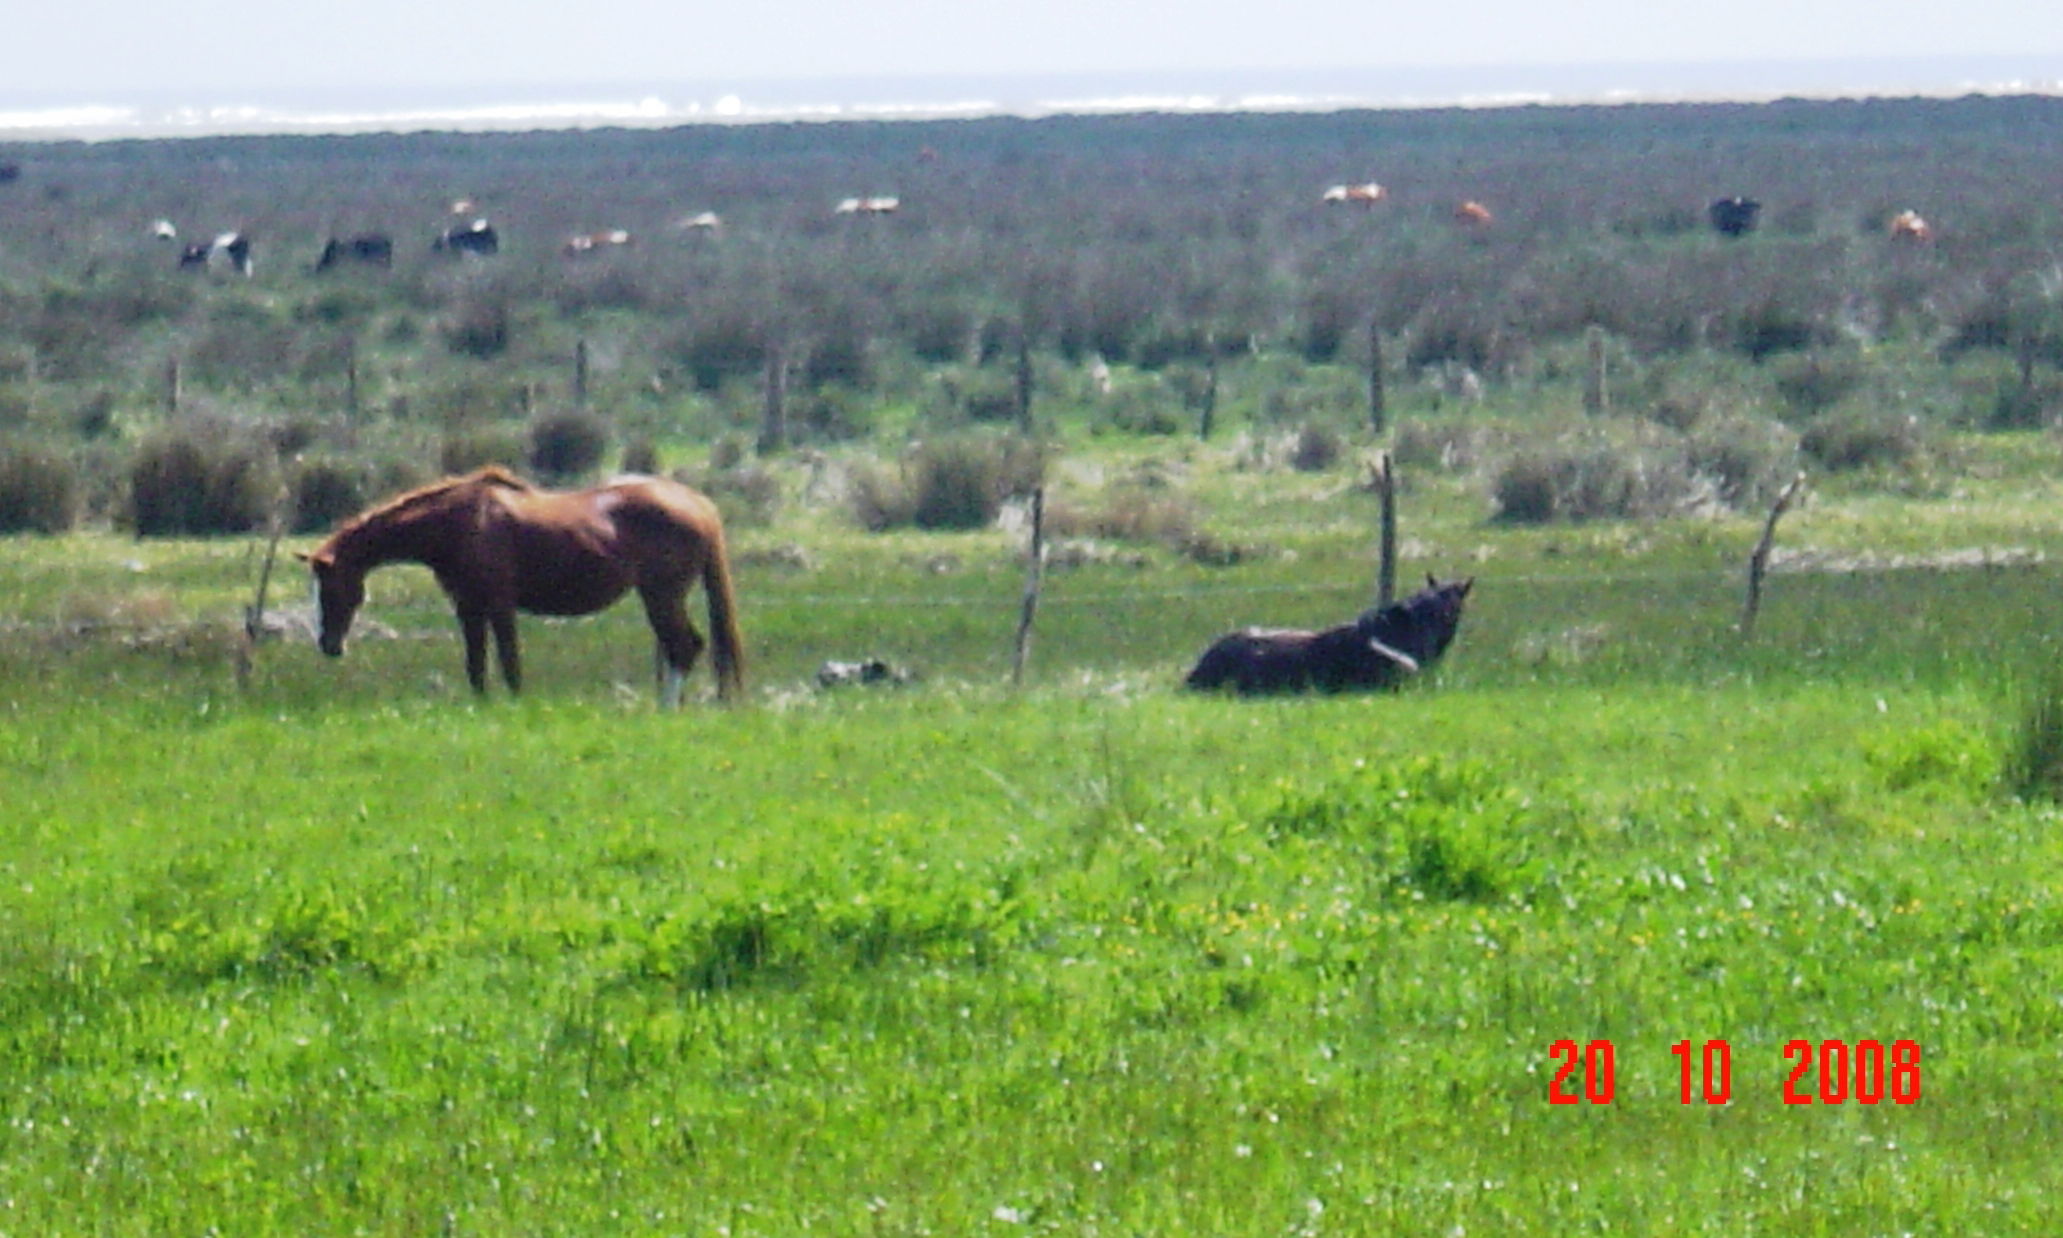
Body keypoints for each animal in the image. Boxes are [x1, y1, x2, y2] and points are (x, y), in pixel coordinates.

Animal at [290, 466, 742, 705]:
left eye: (330, 589)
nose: (329, 645)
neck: (460, 523)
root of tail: (699, 505)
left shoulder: (499, 604)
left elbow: (509, 662)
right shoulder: (468, 606)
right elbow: (476, 664)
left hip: (661, 596)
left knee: (683, 647)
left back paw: (668, 709)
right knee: (682, 648)